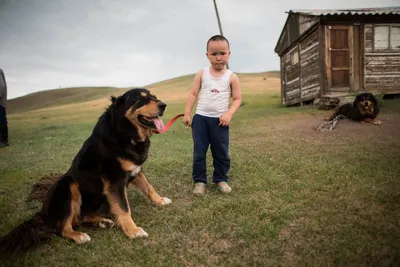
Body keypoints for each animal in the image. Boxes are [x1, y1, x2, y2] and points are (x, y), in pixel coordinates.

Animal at [0, 88, 170, 255]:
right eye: (140, 99)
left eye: (153, 96)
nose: (163, 105)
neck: (124, 132)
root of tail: (43, 213)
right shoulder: (115, 180)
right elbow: (124, 207)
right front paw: (133, 231)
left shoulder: (135, 169)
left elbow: (149, 187)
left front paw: (160, 200)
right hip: (68, 185)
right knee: (62, 228)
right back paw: (79, 236)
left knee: (78, 218)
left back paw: (102, 221)